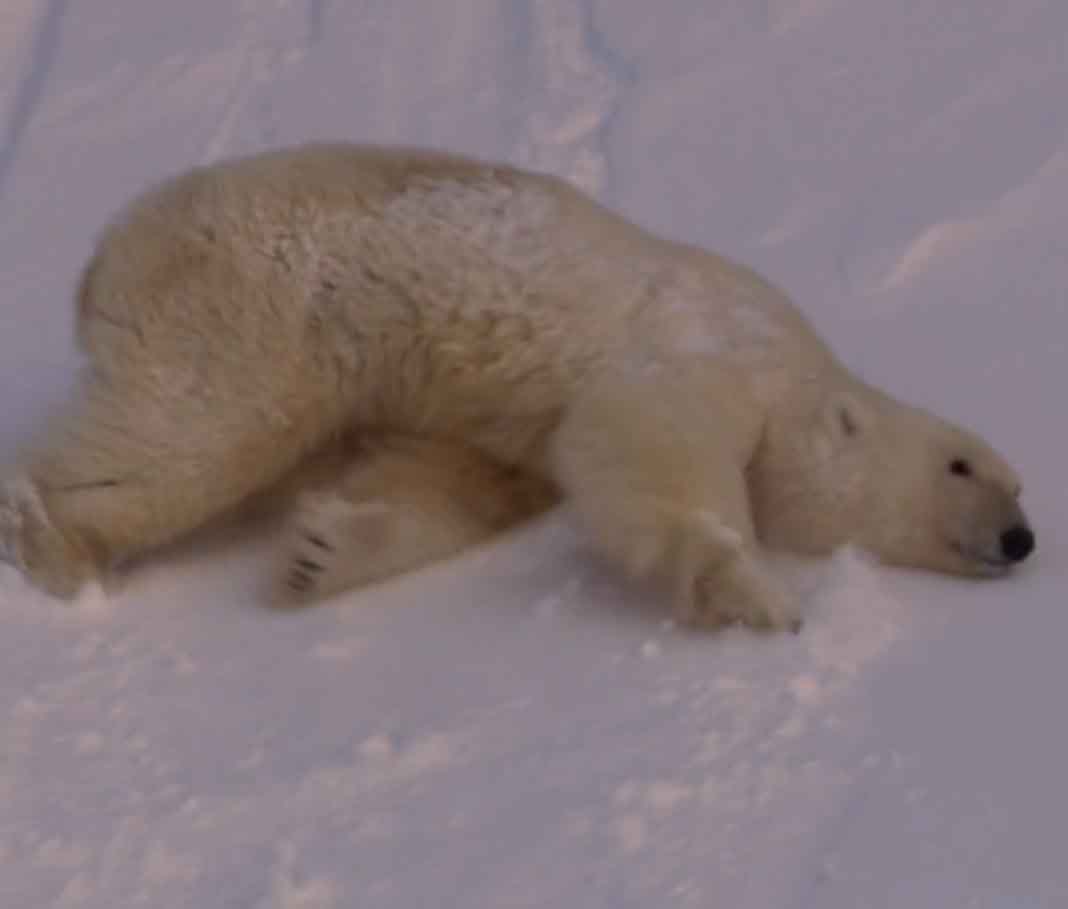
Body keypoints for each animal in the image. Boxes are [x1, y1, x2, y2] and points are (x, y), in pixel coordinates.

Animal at [0, 142, 1033, 628]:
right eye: (963, 466)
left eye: (1024, 486)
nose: (1022, 540)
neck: (799, 371)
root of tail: (105, 255)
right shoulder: (712, 351)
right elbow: (652, 442)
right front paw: (754, 591)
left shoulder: (504, 436)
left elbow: (458, 482)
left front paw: (318, 553)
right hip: (257, 306)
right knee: (192, 429)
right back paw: (50, 540)